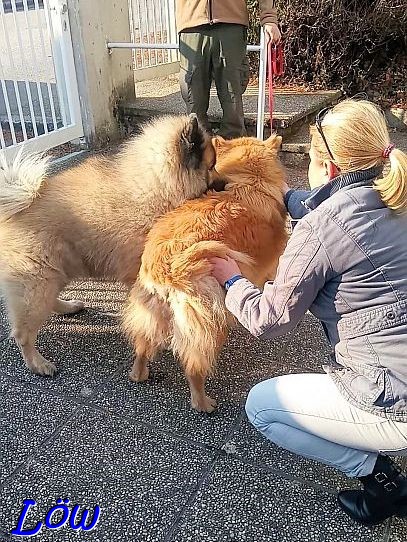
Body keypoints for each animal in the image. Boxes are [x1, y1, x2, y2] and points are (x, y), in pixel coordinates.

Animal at [122, 135, 288, 412]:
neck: (249, 179)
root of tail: (168, 266)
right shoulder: (272, 261)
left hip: (152, 313)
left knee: (143, 346)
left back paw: (139, 373)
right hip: (210, 322)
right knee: (194, 366)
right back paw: (202, 403)